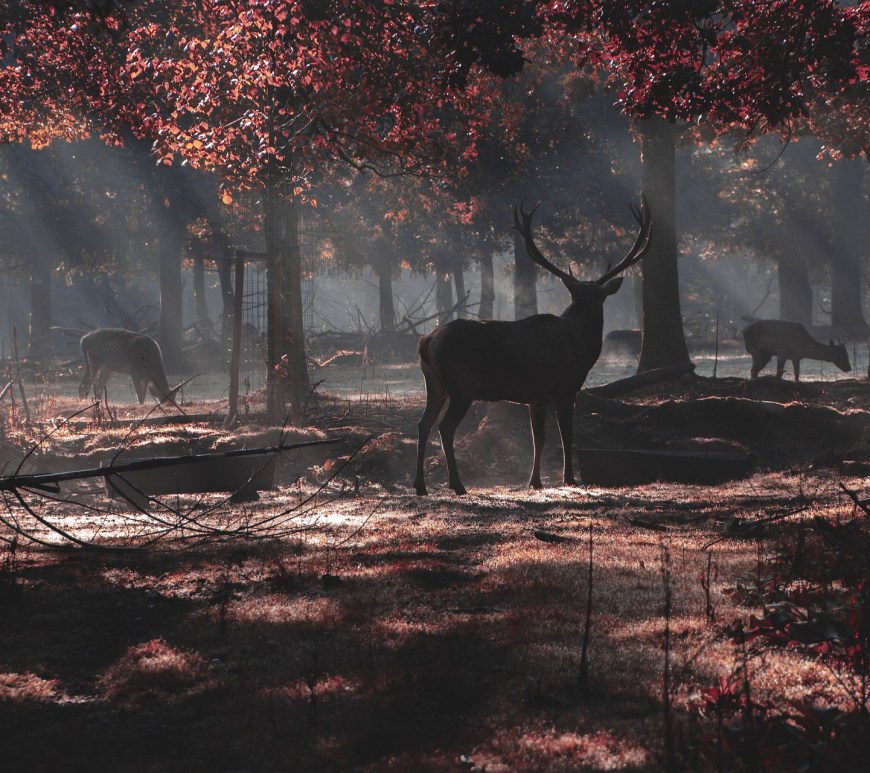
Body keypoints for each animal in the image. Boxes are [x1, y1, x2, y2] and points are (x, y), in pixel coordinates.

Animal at [414, 198, 652, 495]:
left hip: (435, 384)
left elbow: (538, 437)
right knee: (445, 427)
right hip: (462, 384)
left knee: (423, 424)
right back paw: (457, 485)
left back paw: (420, 485)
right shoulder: (565, 388)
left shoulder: (536, 397)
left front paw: (535, 481)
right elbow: (566, 435)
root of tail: (426, 341)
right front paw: (569, 478)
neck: (582, 344)